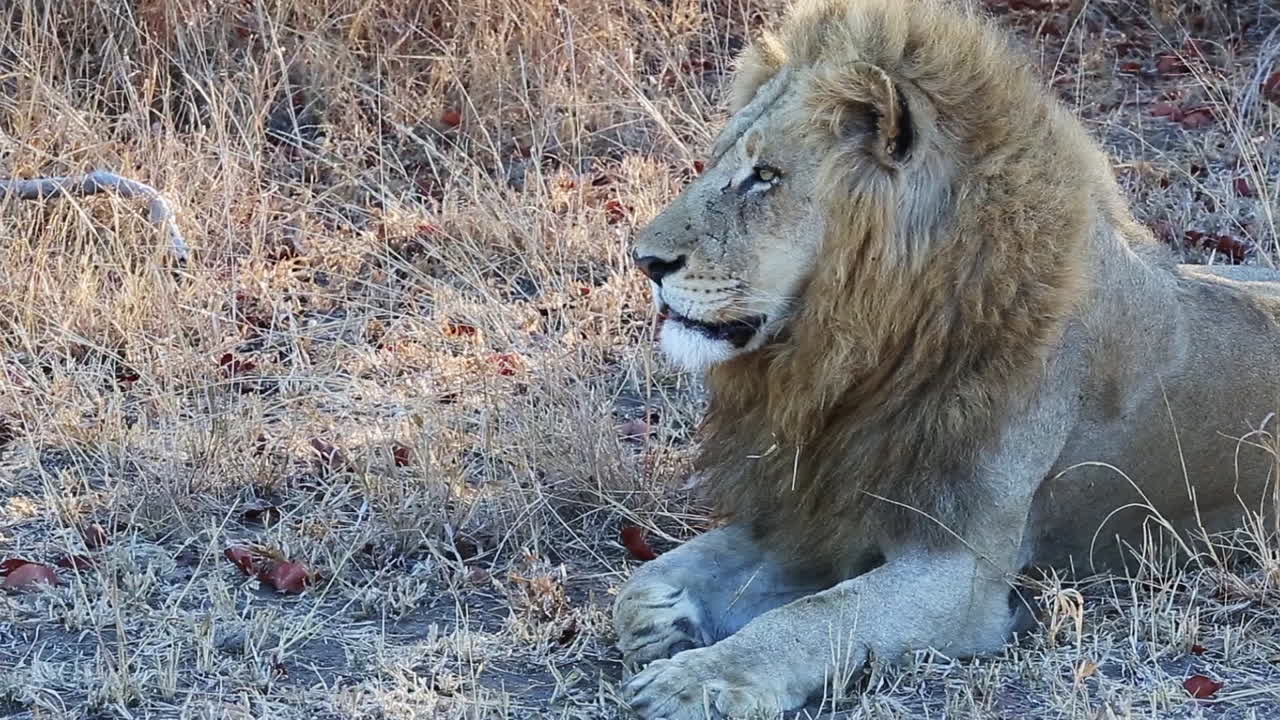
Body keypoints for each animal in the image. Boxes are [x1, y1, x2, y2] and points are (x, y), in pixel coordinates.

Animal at [612, 0, 1280, 717]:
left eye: (765, 178)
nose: (644, 261)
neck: (857, 356)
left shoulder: (958, 571)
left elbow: (819, 616)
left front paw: (699, 679)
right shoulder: (823, 505)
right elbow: (644, 584)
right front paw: (673, 622)